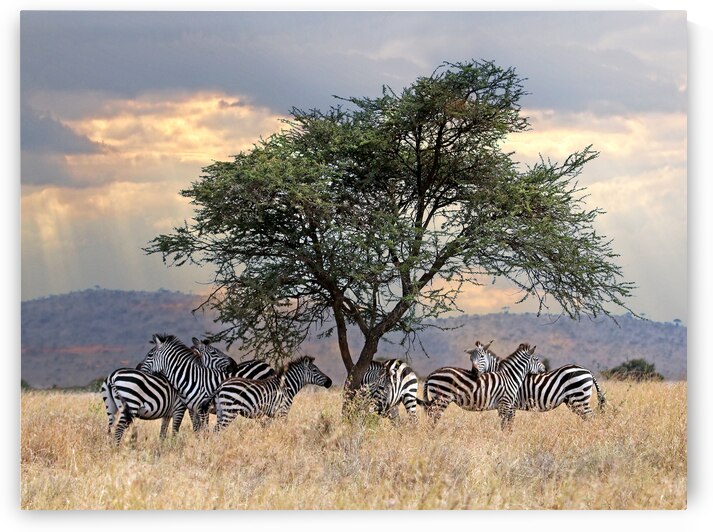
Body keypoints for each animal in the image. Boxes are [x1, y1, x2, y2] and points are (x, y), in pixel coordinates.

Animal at [200, 355, 332, 432]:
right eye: (315, 370)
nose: (330, 382)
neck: (287, 386)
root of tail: (221, 385)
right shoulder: (282, 412)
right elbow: (281, 429)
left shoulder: (273, 415)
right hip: (230, 410)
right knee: (218, 430)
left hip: (220, 410)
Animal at [467, 342, 607, 419]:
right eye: (470, 359)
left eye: (481, 357)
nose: (473, 372)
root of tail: (587, 371)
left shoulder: (510, 406)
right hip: (574, 401)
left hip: (579, 398)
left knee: (591, 417)